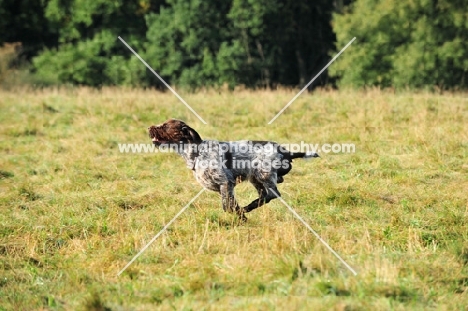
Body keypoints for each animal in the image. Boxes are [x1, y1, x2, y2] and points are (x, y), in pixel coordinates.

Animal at [148, 118, 320, 221]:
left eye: (165, 126)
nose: (149, 127)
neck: (196, 152)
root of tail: (286, 151)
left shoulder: (225, 182)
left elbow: (227, 207)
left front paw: (242, 217)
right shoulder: (225, 188)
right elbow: (232, 205)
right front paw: (242, 216)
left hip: (263, 174)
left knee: (273, 193)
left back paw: (248, 207)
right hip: (255, 178)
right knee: (264, 195)